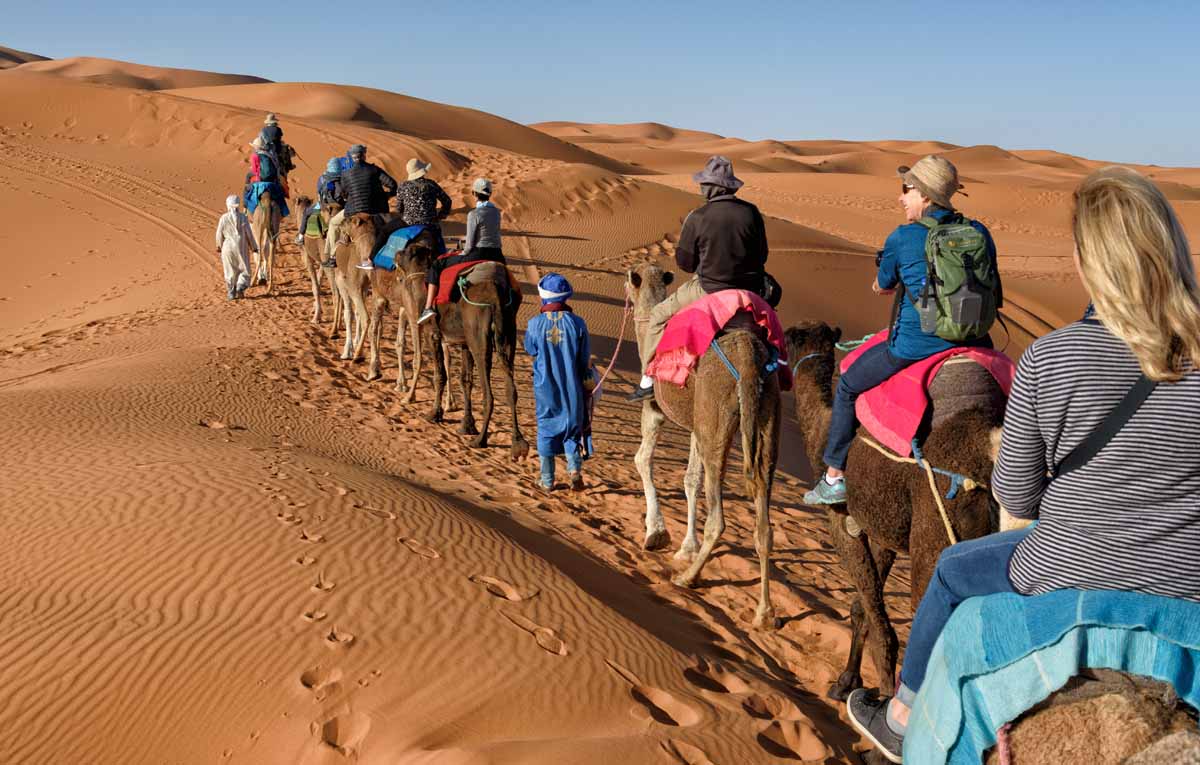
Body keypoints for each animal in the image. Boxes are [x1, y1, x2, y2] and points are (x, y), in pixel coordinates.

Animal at [624, 262, 782, 628]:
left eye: (628, 279)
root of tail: (749, 360)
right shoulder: (698, 426)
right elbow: (690, 479)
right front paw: (685, 545)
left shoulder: (655, 410)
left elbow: (642, 460)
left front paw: (656, 533)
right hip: (766, 418)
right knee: (763, 522)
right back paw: (765, 613)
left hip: (716, 411)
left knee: (719, 519)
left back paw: (688, 579)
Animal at [787, 321, 1003, 705]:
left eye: (791, 336)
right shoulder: (882, 529)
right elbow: (862, 609)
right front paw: (846, 682)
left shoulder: (841, 521)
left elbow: (882, 626)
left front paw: (870, 694)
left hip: (938, 535)